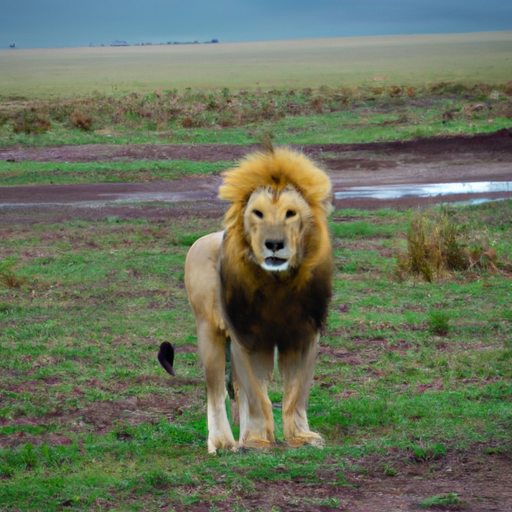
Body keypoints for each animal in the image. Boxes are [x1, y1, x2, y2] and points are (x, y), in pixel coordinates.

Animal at [184, 147, 332, 452]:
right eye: (258, 213)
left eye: (290, 213)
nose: (274, 244)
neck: (278, 284)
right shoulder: (246, 336)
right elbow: (255, 393)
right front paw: (257, 441)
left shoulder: (305, 335)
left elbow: (296, 392)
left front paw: (301, 437)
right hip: (208, 331)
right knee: (216, 389)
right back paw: (222, 444)